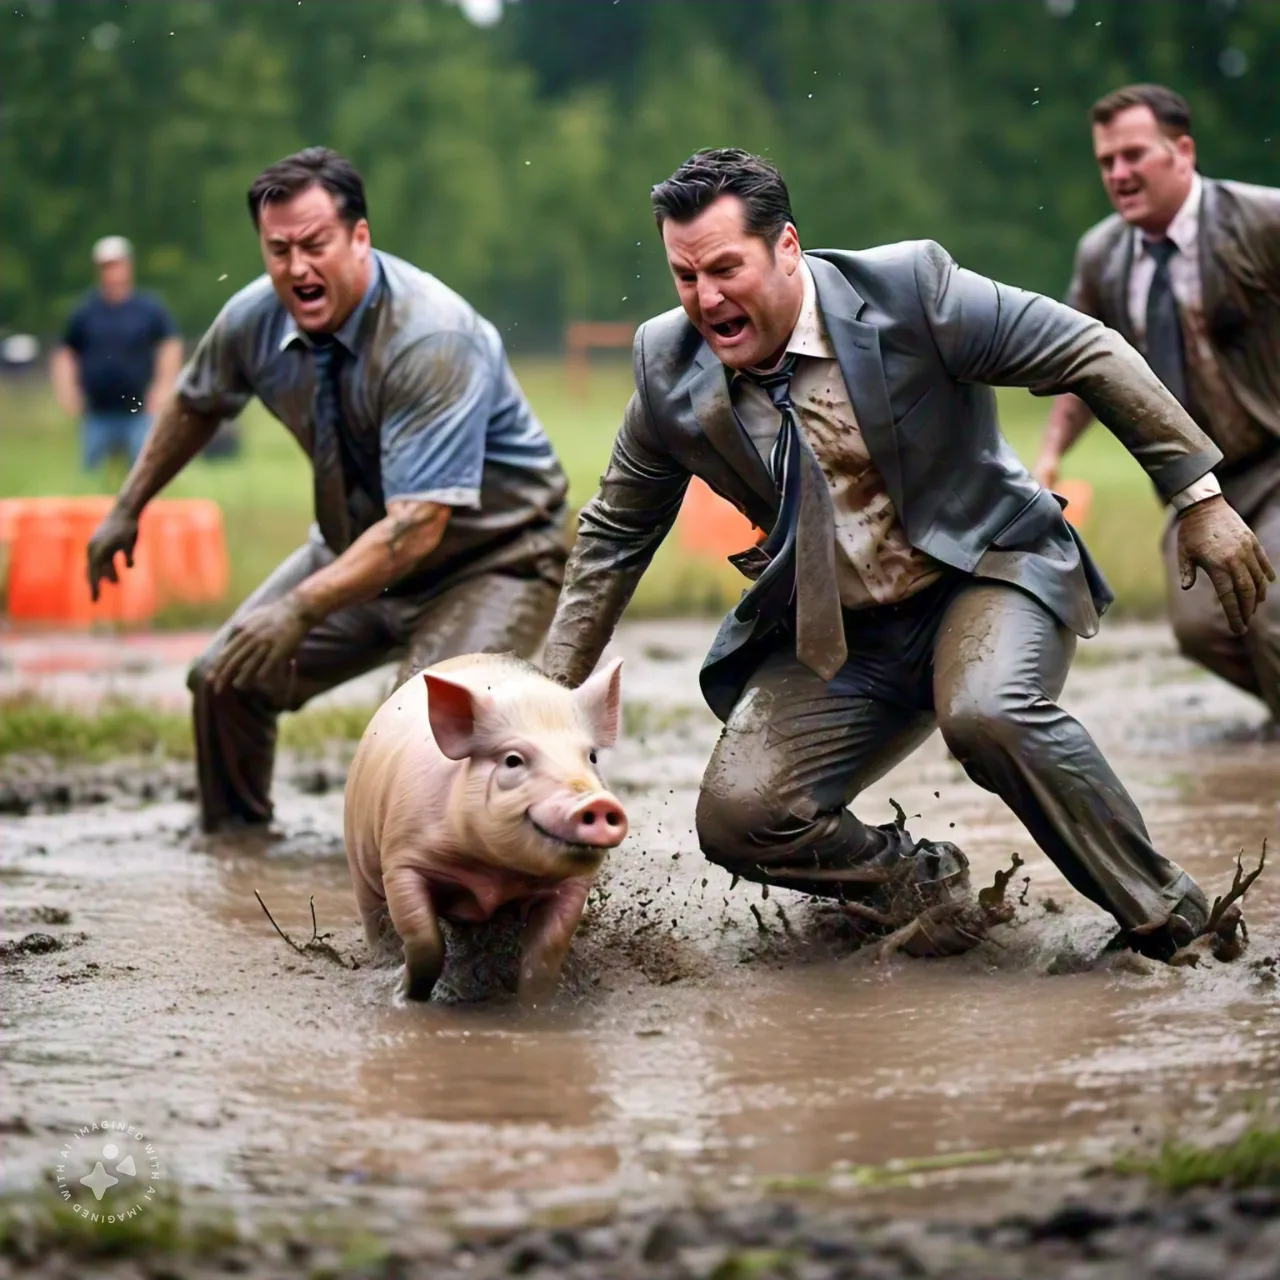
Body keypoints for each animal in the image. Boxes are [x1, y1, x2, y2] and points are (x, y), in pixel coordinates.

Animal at [343, 655, 627, 1003]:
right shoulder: (402, 859)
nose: (596, 802)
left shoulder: (573, 883)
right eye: (513, 760)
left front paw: (535, 1004)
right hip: (360, 865)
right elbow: (423, 938)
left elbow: (545, 952)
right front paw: (406, 996)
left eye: (592, 757)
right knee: (375, 921)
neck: (495, 874)